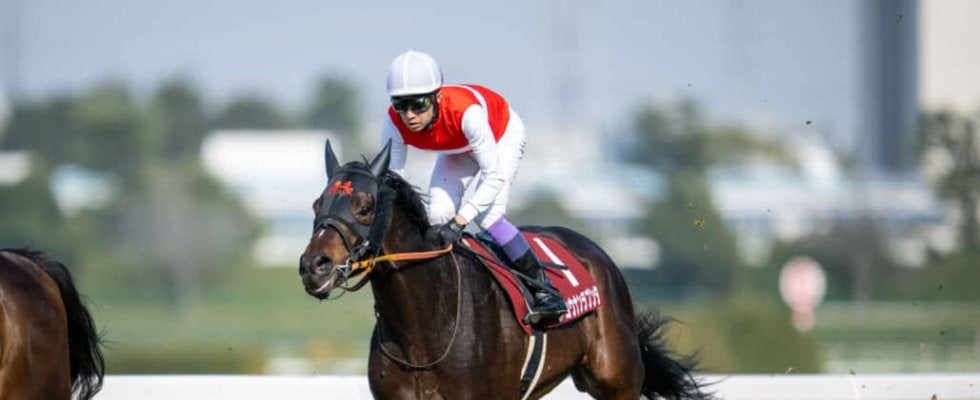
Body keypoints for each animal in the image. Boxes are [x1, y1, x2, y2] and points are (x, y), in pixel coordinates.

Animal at [299, 141, 712, 399]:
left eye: (365, 206)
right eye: (318, 203)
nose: (313, 265)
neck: (424, 331)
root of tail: (600, 256)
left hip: (617, 380)